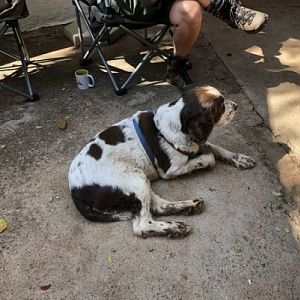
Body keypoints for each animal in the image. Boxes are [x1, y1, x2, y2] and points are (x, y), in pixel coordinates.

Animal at [68, 85, 255, 238]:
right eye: (221, 105)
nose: (236, 106)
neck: (177, 121)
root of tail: (74, 189)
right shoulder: (171, 169)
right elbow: (210, 157)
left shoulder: (195, 144)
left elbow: (217, 149)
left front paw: (240, 158)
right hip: (134, 178)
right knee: (142, 225)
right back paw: (175, 227)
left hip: (138, 181)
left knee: (157, 206)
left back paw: (188, 207)